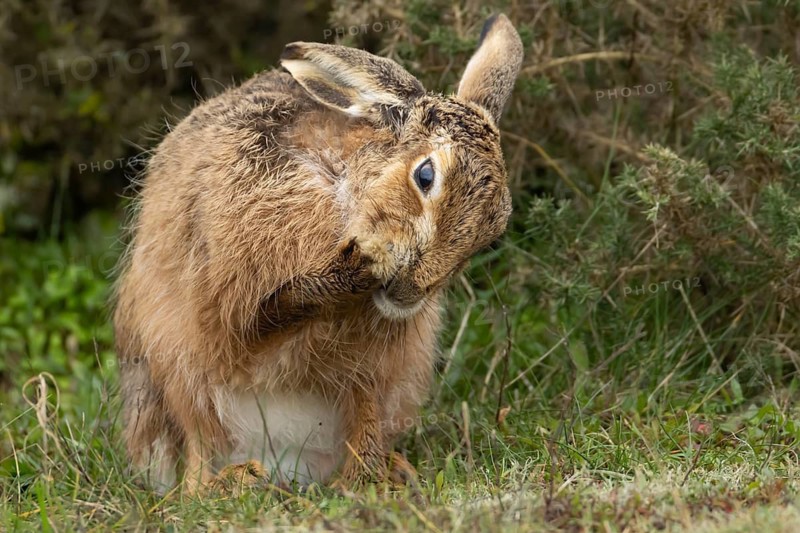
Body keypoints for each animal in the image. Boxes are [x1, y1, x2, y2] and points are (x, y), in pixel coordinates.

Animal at [113, 13, 523, 494]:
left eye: (491, 232)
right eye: (425, 176)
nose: (411, 291)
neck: (345, 190)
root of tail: (287, 460)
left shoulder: (378, 361)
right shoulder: (234, 297)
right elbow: (261, 318)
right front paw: (358, 267)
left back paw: (380, 477)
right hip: (174, 368)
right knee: (197, 459)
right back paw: (236, 480)